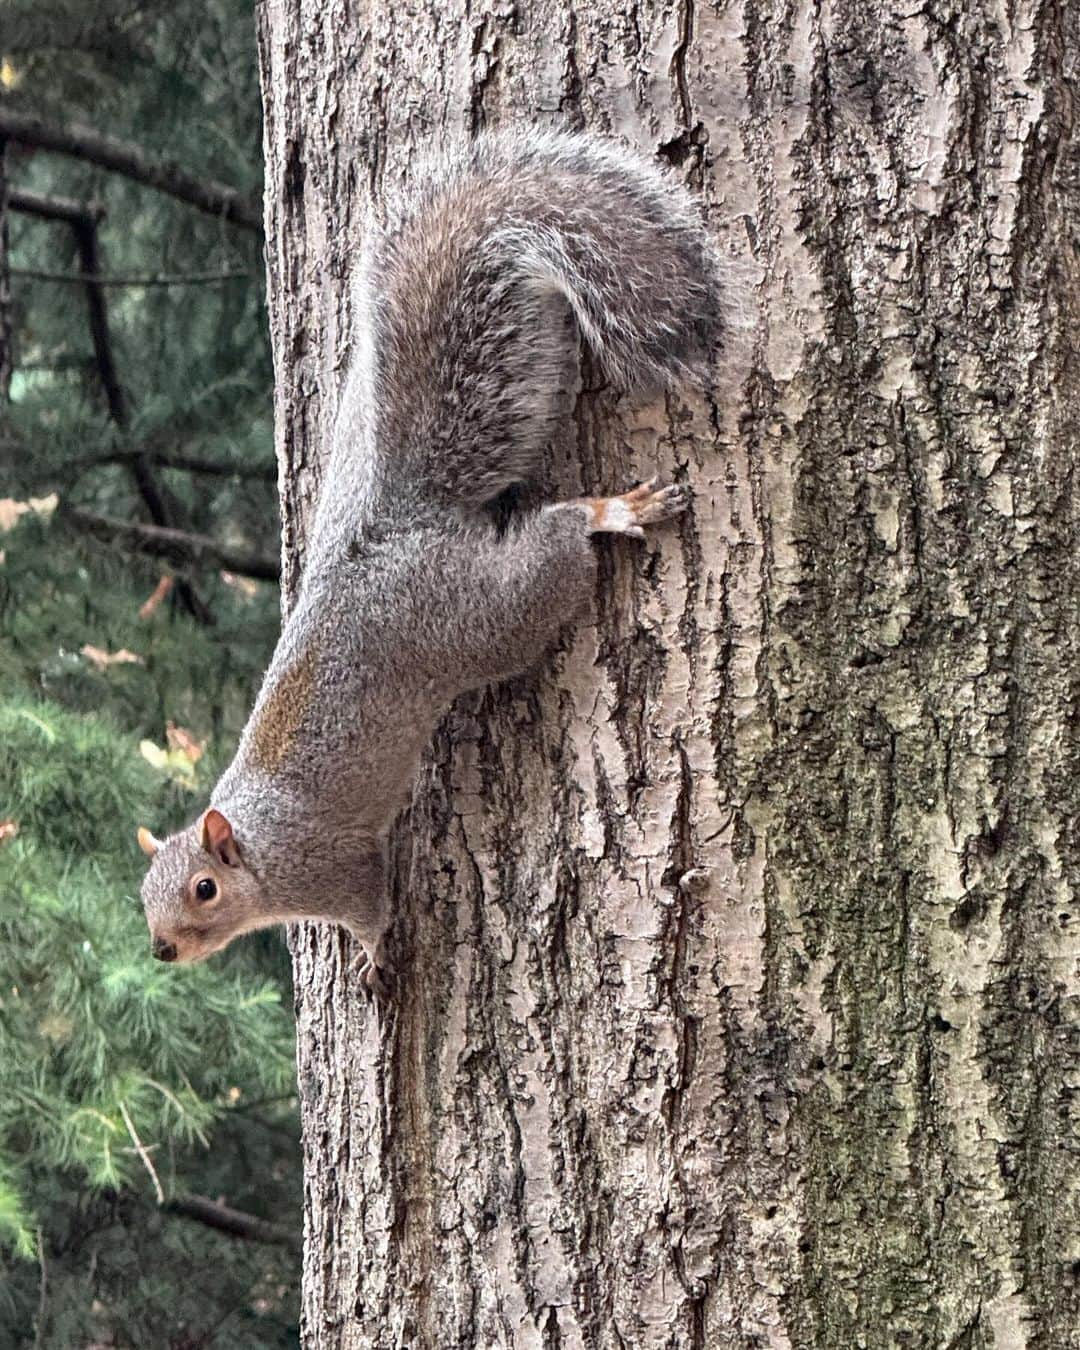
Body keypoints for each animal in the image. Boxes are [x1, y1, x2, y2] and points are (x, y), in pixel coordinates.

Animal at [135, 128, 723, 993]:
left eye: (203, 889)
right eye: (144, 893)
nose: (161, 949)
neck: (263, 848)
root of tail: (397, 531)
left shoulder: (335, 867)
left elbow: (372, 907)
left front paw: (374, 959)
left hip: (477, 615)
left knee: (554, 549)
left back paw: (612, 512)